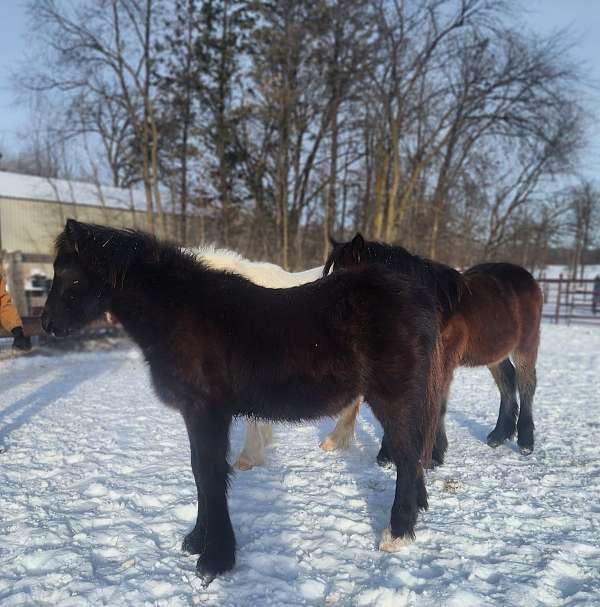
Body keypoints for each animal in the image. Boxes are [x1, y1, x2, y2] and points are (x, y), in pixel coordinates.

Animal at [42, 221, 442, 588]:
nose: (46, 325)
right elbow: (199, 472)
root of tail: (418, 297)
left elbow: (210, 474)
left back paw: (398, 533)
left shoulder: (207, 412)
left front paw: (214, 559)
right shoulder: (195, 414)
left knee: (407, 453)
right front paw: (196, 541)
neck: (180, 312)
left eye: (70, 277)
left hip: (394, 395)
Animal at [326, 235, 540, 464]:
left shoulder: (442, 363)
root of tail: (526, 277)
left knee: (526, 384)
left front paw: (434, 455)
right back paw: (498, 436)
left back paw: (526, 443)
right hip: (494, 354)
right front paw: (388, 454)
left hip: (526, 346)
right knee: (507, 381)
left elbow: (438, 404)